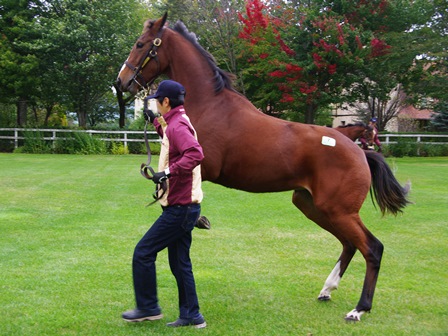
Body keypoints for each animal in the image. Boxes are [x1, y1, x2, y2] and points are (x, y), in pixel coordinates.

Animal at [115, 13, 410, 322]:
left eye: (140, 44)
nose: (121, 81)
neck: (211, 106)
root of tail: (361, 153)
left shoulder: (203, 167)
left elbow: (174, 195)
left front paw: (200, 220)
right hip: (313, 206)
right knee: (350, 244)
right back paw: (327, 290)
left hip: (339, 211)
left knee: (372, 248)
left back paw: (359, 308)